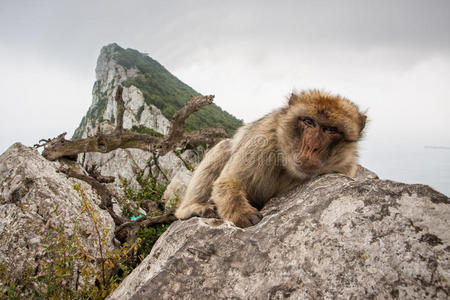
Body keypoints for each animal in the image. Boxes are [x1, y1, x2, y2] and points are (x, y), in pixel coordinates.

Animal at [174, 89, 368, 227]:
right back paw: (190, 207)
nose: (312, 146)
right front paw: (241, 212)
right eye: (309, 122)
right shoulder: (262, 140)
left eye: (331, 130)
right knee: (224, 148)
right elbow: (228, 181)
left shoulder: (345, 168)